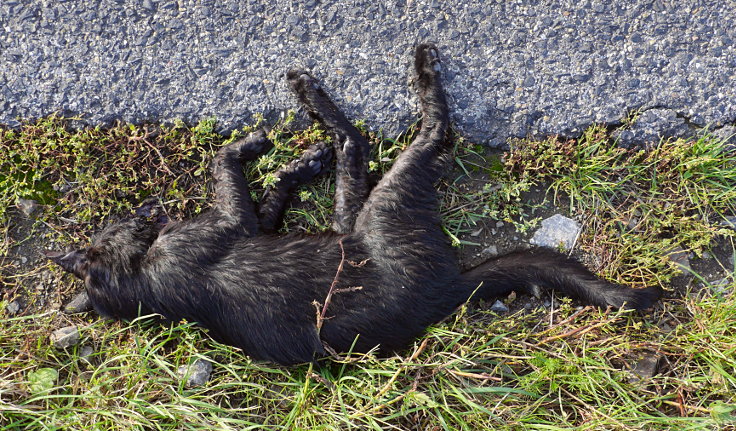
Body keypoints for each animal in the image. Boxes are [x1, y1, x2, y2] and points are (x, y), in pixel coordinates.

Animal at [47, 45, 660, 366]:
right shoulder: (228, 223)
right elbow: (225, 164)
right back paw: (355, 90)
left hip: (353, 219)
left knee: (357, 153)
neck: (141, 277)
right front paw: (256, 147)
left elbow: (266, 196)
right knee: (414, 135)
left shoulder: (252, 223)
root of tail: (452, 288)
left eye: (108, 225)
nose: (147, 211)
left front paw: (287, 167)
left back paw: (314, 130)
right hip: (383, 209)